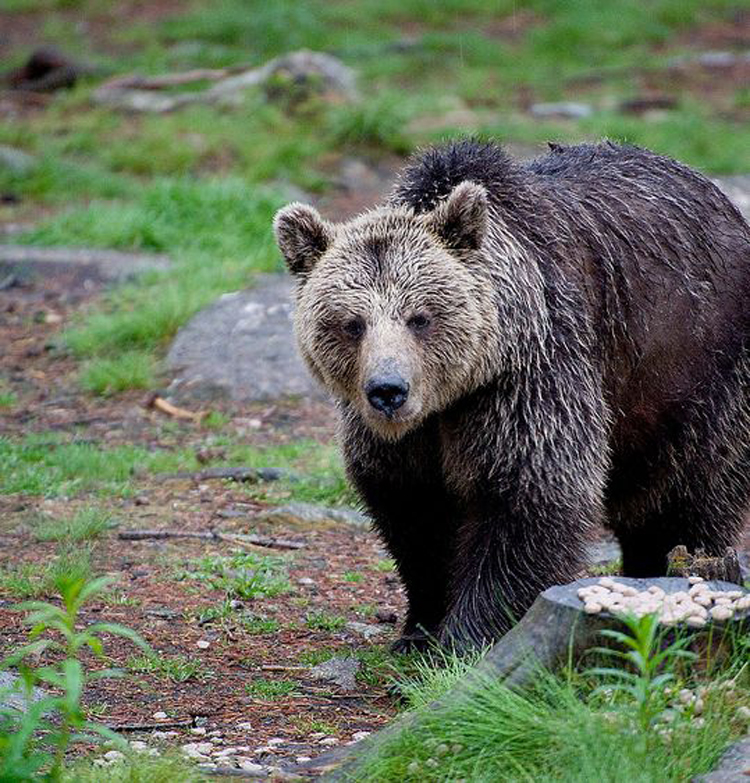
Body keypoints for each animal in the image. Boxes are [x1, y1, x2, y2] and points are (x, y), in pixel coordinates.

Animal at [273, 139, 750, 653]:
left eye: (420, 317)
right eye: (352, 323)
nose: (388, 392)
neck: (454, 393)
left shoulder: (529, 377)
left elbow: (529, 495)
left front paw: (466, 635)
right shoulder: (402, 438)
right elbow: (413, 508)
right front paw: (420, 627)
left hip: (698, 371)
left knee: (689, 491)